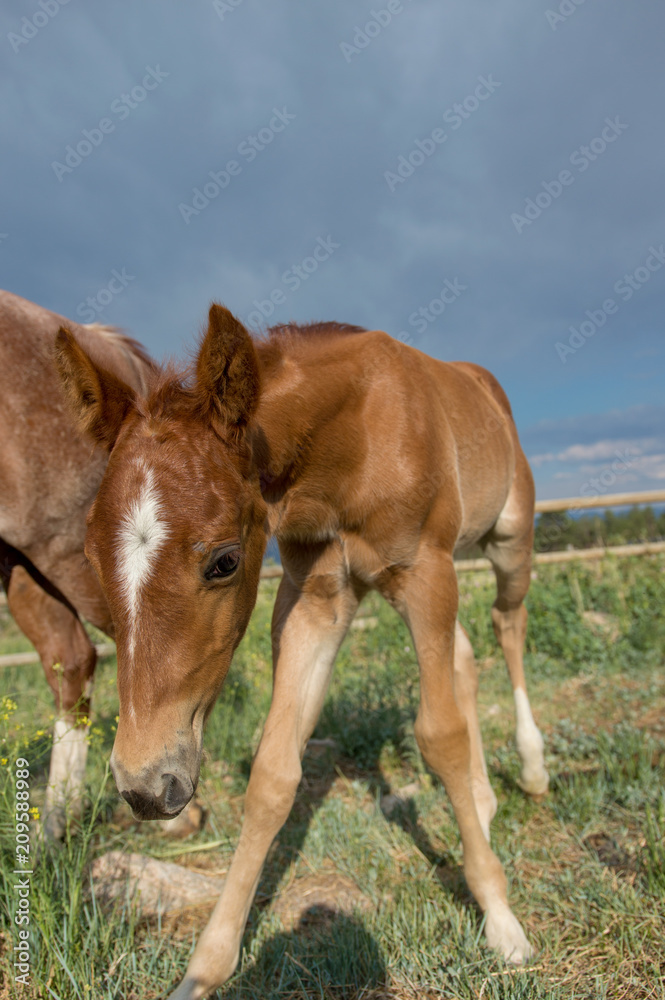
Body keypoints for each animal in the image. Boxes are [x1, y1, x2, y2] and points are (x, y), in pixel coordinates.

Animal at [55, 300, 544, 996]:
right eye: (93, 561)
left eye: (225, 561)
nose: (145, 786)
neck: (356, 441)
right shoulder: (315, 599)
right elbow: (274, 773)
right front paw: (205, 968)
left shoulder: (424, 571)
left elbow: (440, 735)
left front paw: (501, 918)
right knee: (465, 656)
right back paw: (481, 798)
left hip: (507, 542)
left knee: (507, 626)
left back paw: (530, 768)